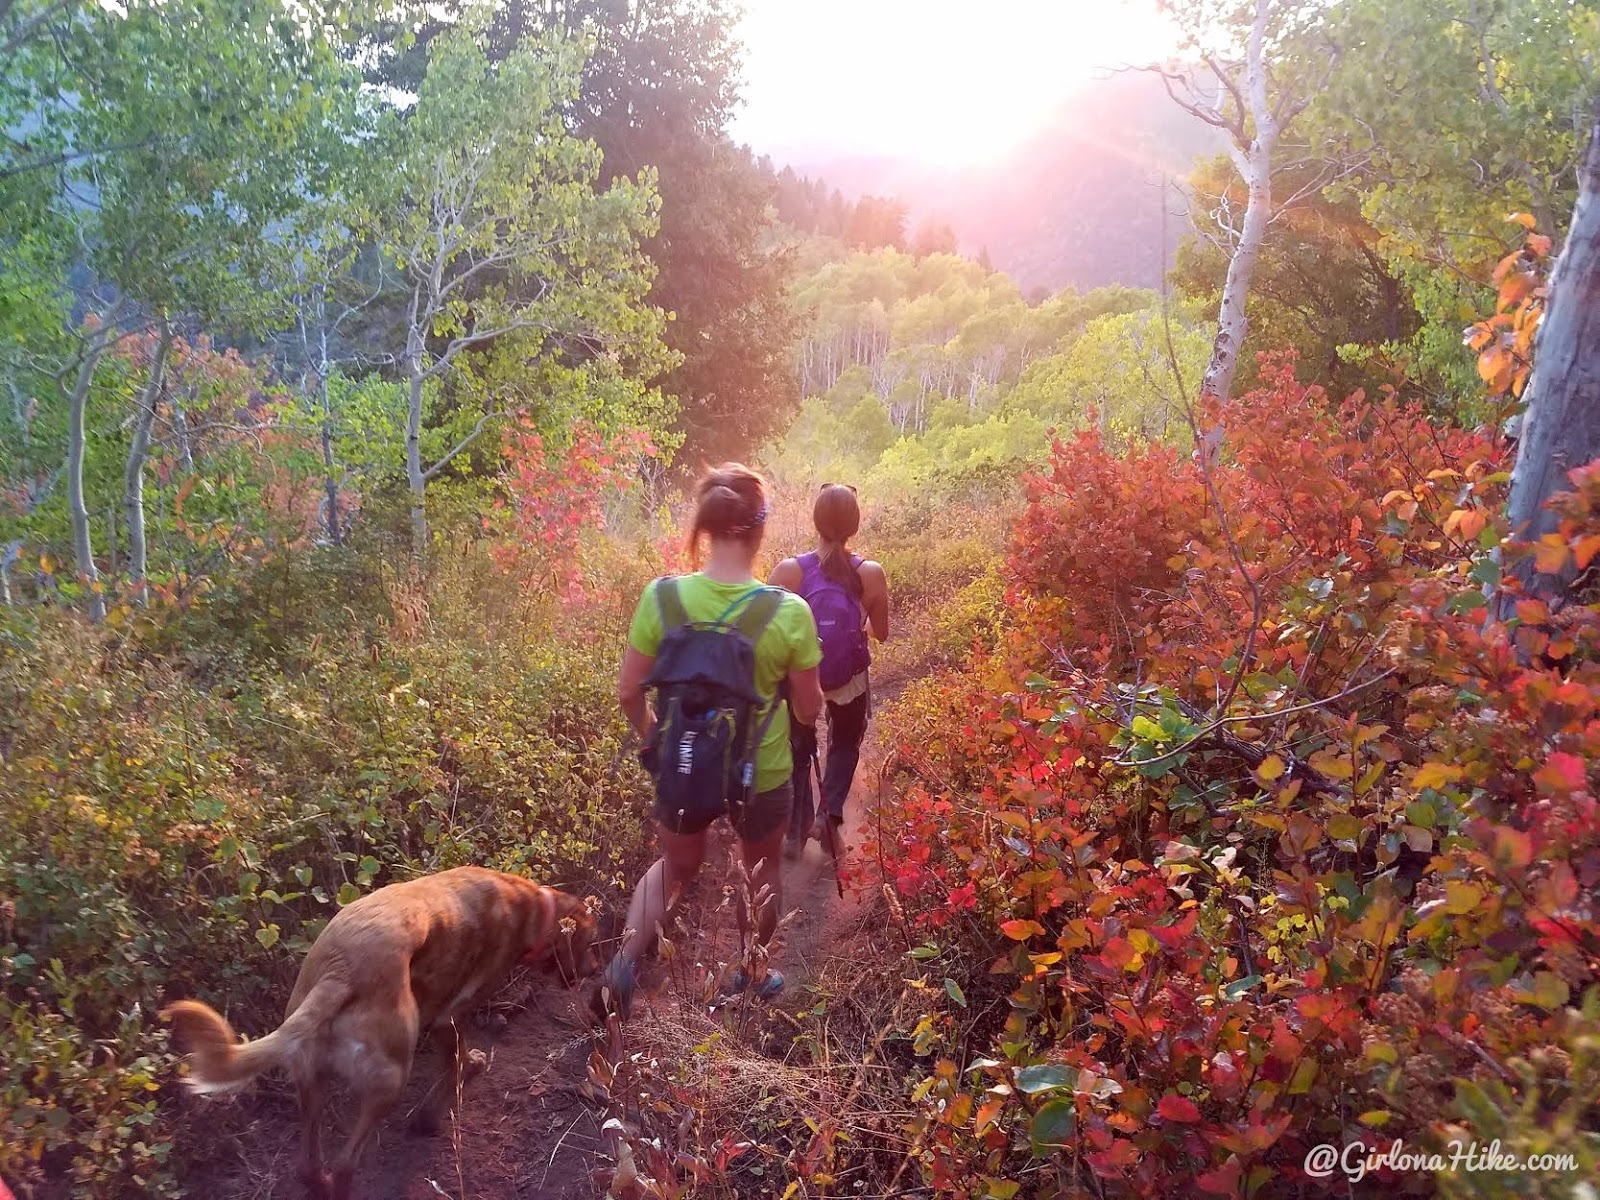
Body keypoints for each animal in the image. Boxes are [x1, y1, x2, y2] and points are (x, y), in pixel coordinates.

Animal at [159, 870, 598, 1196]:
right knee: (344, 1163)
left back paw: (318, 1184)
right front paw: (446, 1098)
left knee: (309, 1165)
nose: (595, 971)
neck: (530, 906)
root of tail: (340, 972)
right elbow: (453, 1064)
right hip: (391, 1077)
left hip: (311, 1080)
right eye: (590, 943)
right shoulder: (451, 1017)